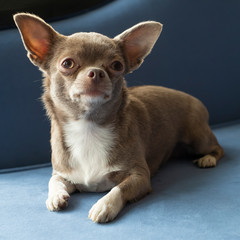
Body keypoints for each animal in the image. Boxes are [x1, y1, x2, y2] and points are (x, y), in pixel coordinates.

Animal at [13, 13, 223, 223]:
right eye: (67, 63)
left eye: (116, 66)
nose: (96, 72)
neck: (88, 127)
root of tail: (194, 99)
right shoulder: (62, 173)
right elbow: (53, 181)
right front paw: (55, 196)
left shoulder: (140, 176)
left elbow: (118, 189)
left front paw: (104, 205)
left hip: (199, 139)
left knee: (218, 149)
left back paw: (208, 159)